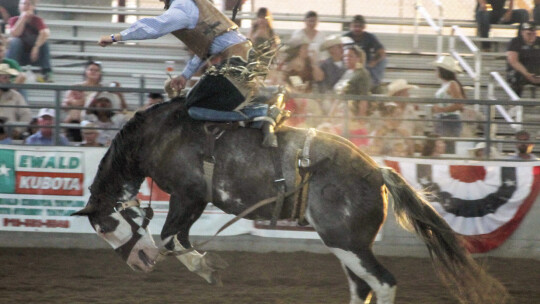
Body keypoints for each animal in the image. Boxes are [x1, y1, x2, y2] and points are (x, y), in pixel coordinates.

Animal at [73, 96, 510, 302]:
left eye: (108, 225)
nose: (138, 263)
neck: (160, 136)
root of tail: (377, 171)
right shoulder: (192, 201)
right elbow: (177, 238)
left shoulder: (188, 194)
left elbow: (170, 238)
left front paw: (207, 267)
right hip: (348, 247)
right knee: (362, 288)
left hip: (347, 244)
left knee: (383, 283)